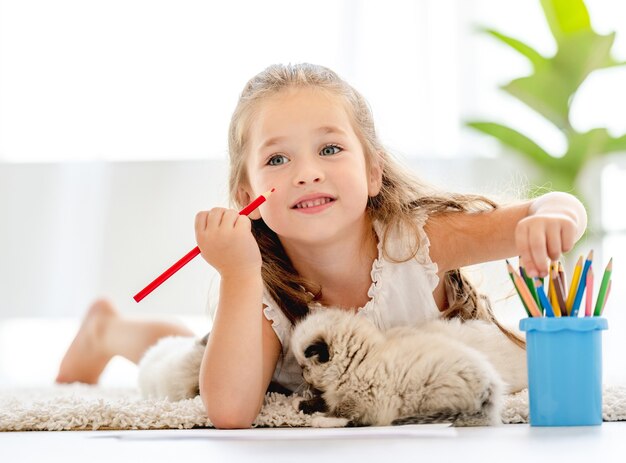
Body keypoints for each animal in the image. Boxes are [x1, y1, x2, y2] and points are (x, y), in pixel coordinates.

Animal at [290, 310, 524, 430]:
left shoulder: (362, 397)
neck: (358, 361)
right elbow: (322, 401)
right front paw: (300, 404)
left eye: (304, 367)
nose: (301, 374)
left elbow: (342, 411)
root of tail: (492, 390)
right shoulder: (336, 395)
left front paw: (321, 419)